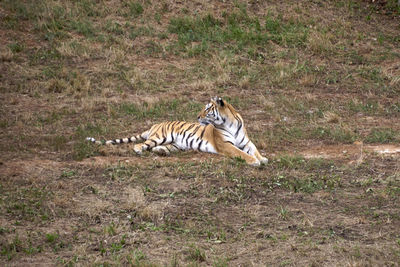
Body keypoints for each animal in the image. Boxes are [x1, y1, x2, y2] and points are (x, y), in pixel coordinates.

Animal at [87, 97, 268, 166]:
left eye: (207, 109)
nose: (197, 116)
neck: (229, 123)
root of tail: (155, 125)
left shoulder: (246, 142)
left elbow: (254, 150)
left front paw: (262, 158)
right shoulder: (226, 145)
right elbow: (241, 153)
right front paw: (254, 161)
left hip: (175, 144)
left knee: (157, 148)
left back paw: (162, 152)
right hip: (160, 136)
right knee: (141, 145)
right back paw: (139, 151)